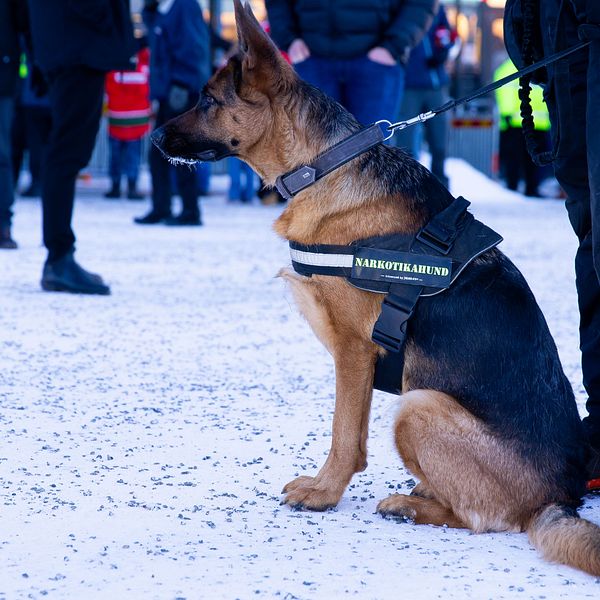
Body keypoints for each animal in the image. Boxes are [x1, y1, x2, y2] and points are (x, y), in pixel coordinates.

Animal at [152, 0, 600, 576]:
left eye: (208, 99)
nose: (153, 139)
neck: (324, 165)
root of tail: (560, 497)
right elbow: (355, 434)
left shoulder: (352, 350)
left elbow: (344, 435)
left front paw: (323, 494)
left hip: (418, 406)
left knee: (482, 518)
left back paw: (410, 505)